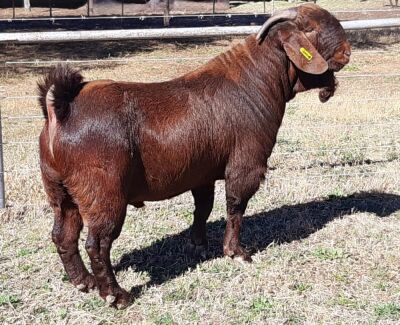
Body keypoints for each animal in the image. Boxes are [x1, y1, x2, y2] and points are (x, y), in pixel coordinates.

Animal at [37, 3, 350, 306]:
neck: (257, 80)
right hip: (103, 192)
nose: (347, 52)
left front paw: (199, 246)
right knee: (97, 243)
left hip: (61, 191)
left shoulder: (202, 173)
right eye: (315, 27)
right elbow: (235, 206)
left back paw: (83, 282)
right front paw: (236, 252)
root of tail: (60, 109)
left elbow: (203, 208)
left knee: (63, 235)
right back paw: (116, 295)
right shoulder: (246, 164)